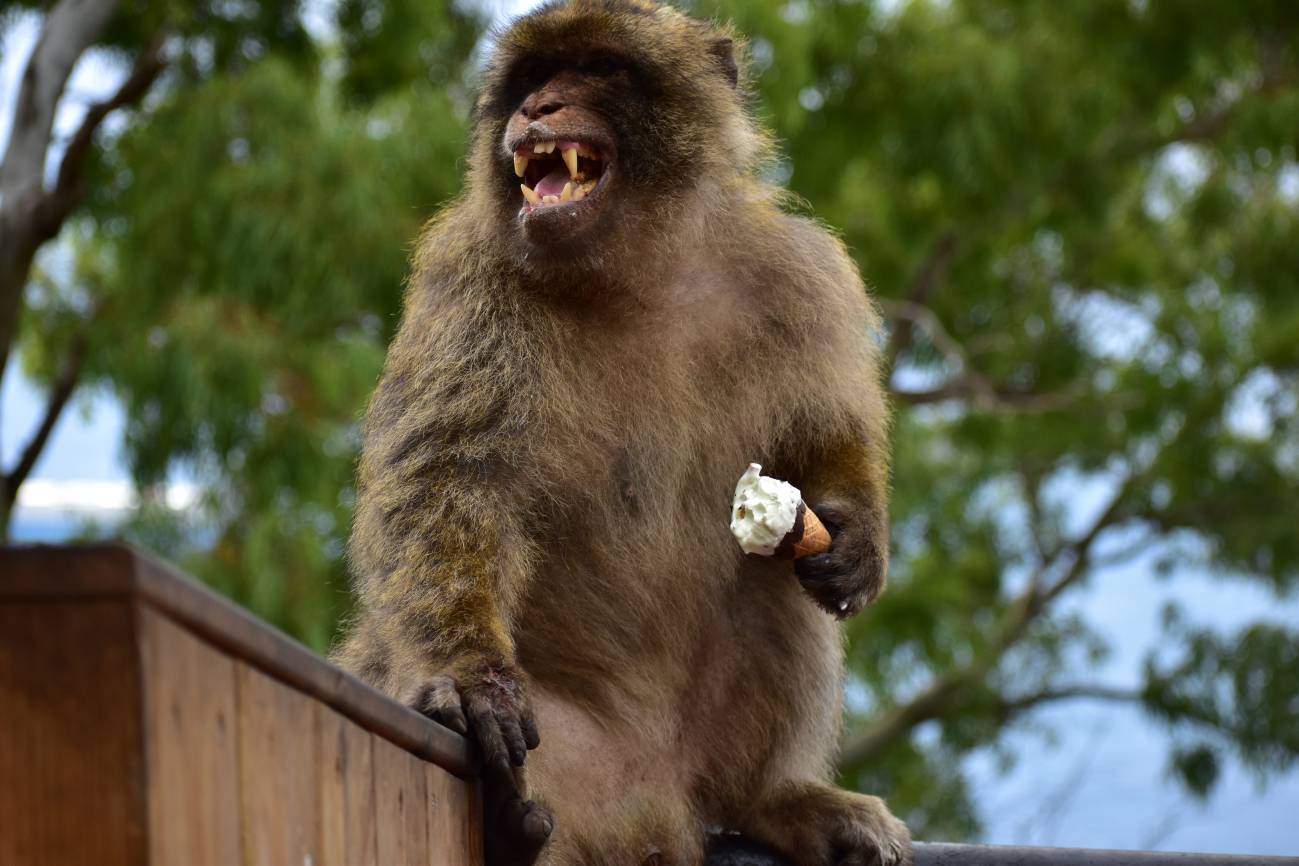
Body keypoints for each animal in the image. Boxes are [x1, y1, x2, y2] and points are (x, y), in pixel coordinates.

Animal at [332, 2, 910, 866]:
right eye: (535, 77)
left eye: (598, 69)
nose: (536, 108)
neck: (638, 267)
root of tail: (654, 801)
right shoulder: (469, 283)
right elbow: (445, 484)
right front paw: (470, 678)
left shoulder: (800, 273)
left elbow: (820, 435)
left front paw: (854, 533)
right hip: (565, 755)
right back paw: (508, 822)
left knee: (772, 583)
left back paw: (774, 799)